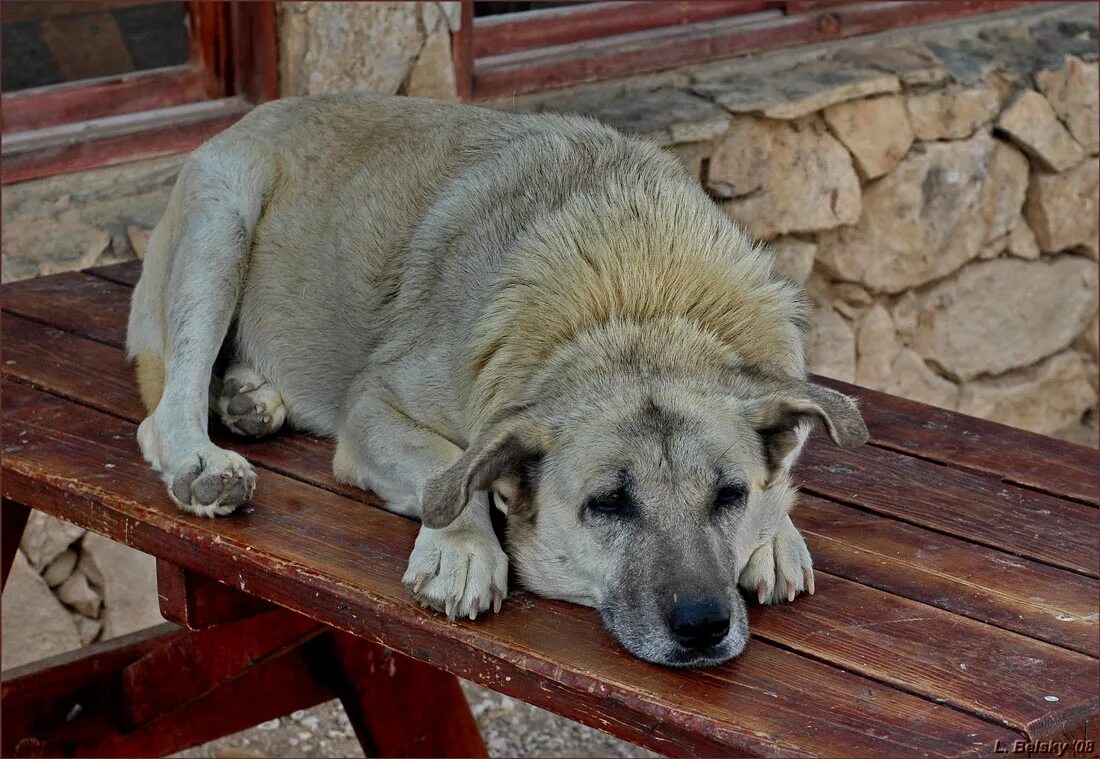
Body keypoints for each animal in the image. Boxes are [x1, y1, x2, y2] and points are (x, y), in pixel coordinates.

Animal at [126, 92, 866, 660]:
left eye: (729, 494)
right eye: (608, 503)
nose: (704, 625)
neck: (633, 301)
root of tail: (246, 118)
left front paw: (776, 534)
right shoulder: (375, 404)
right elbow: (445, 468)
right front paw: (461, 547)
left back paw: (248, 397)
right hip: (221, 222)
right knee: (164, 412)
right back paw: (203, 460)